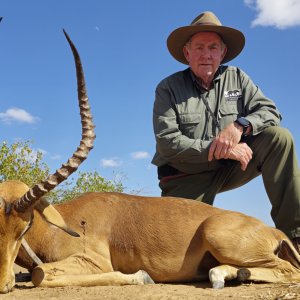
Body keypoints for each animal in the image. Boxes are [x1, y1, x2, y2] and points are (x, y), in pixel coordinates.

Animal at [0, 31, 300, 294]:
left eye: (25, 226)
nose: (4, 283)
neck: (59, 225)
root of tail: (272, 231)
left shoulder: (94, 262)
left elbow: (40, 274)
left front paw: (142, 277)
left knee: (289, 270)